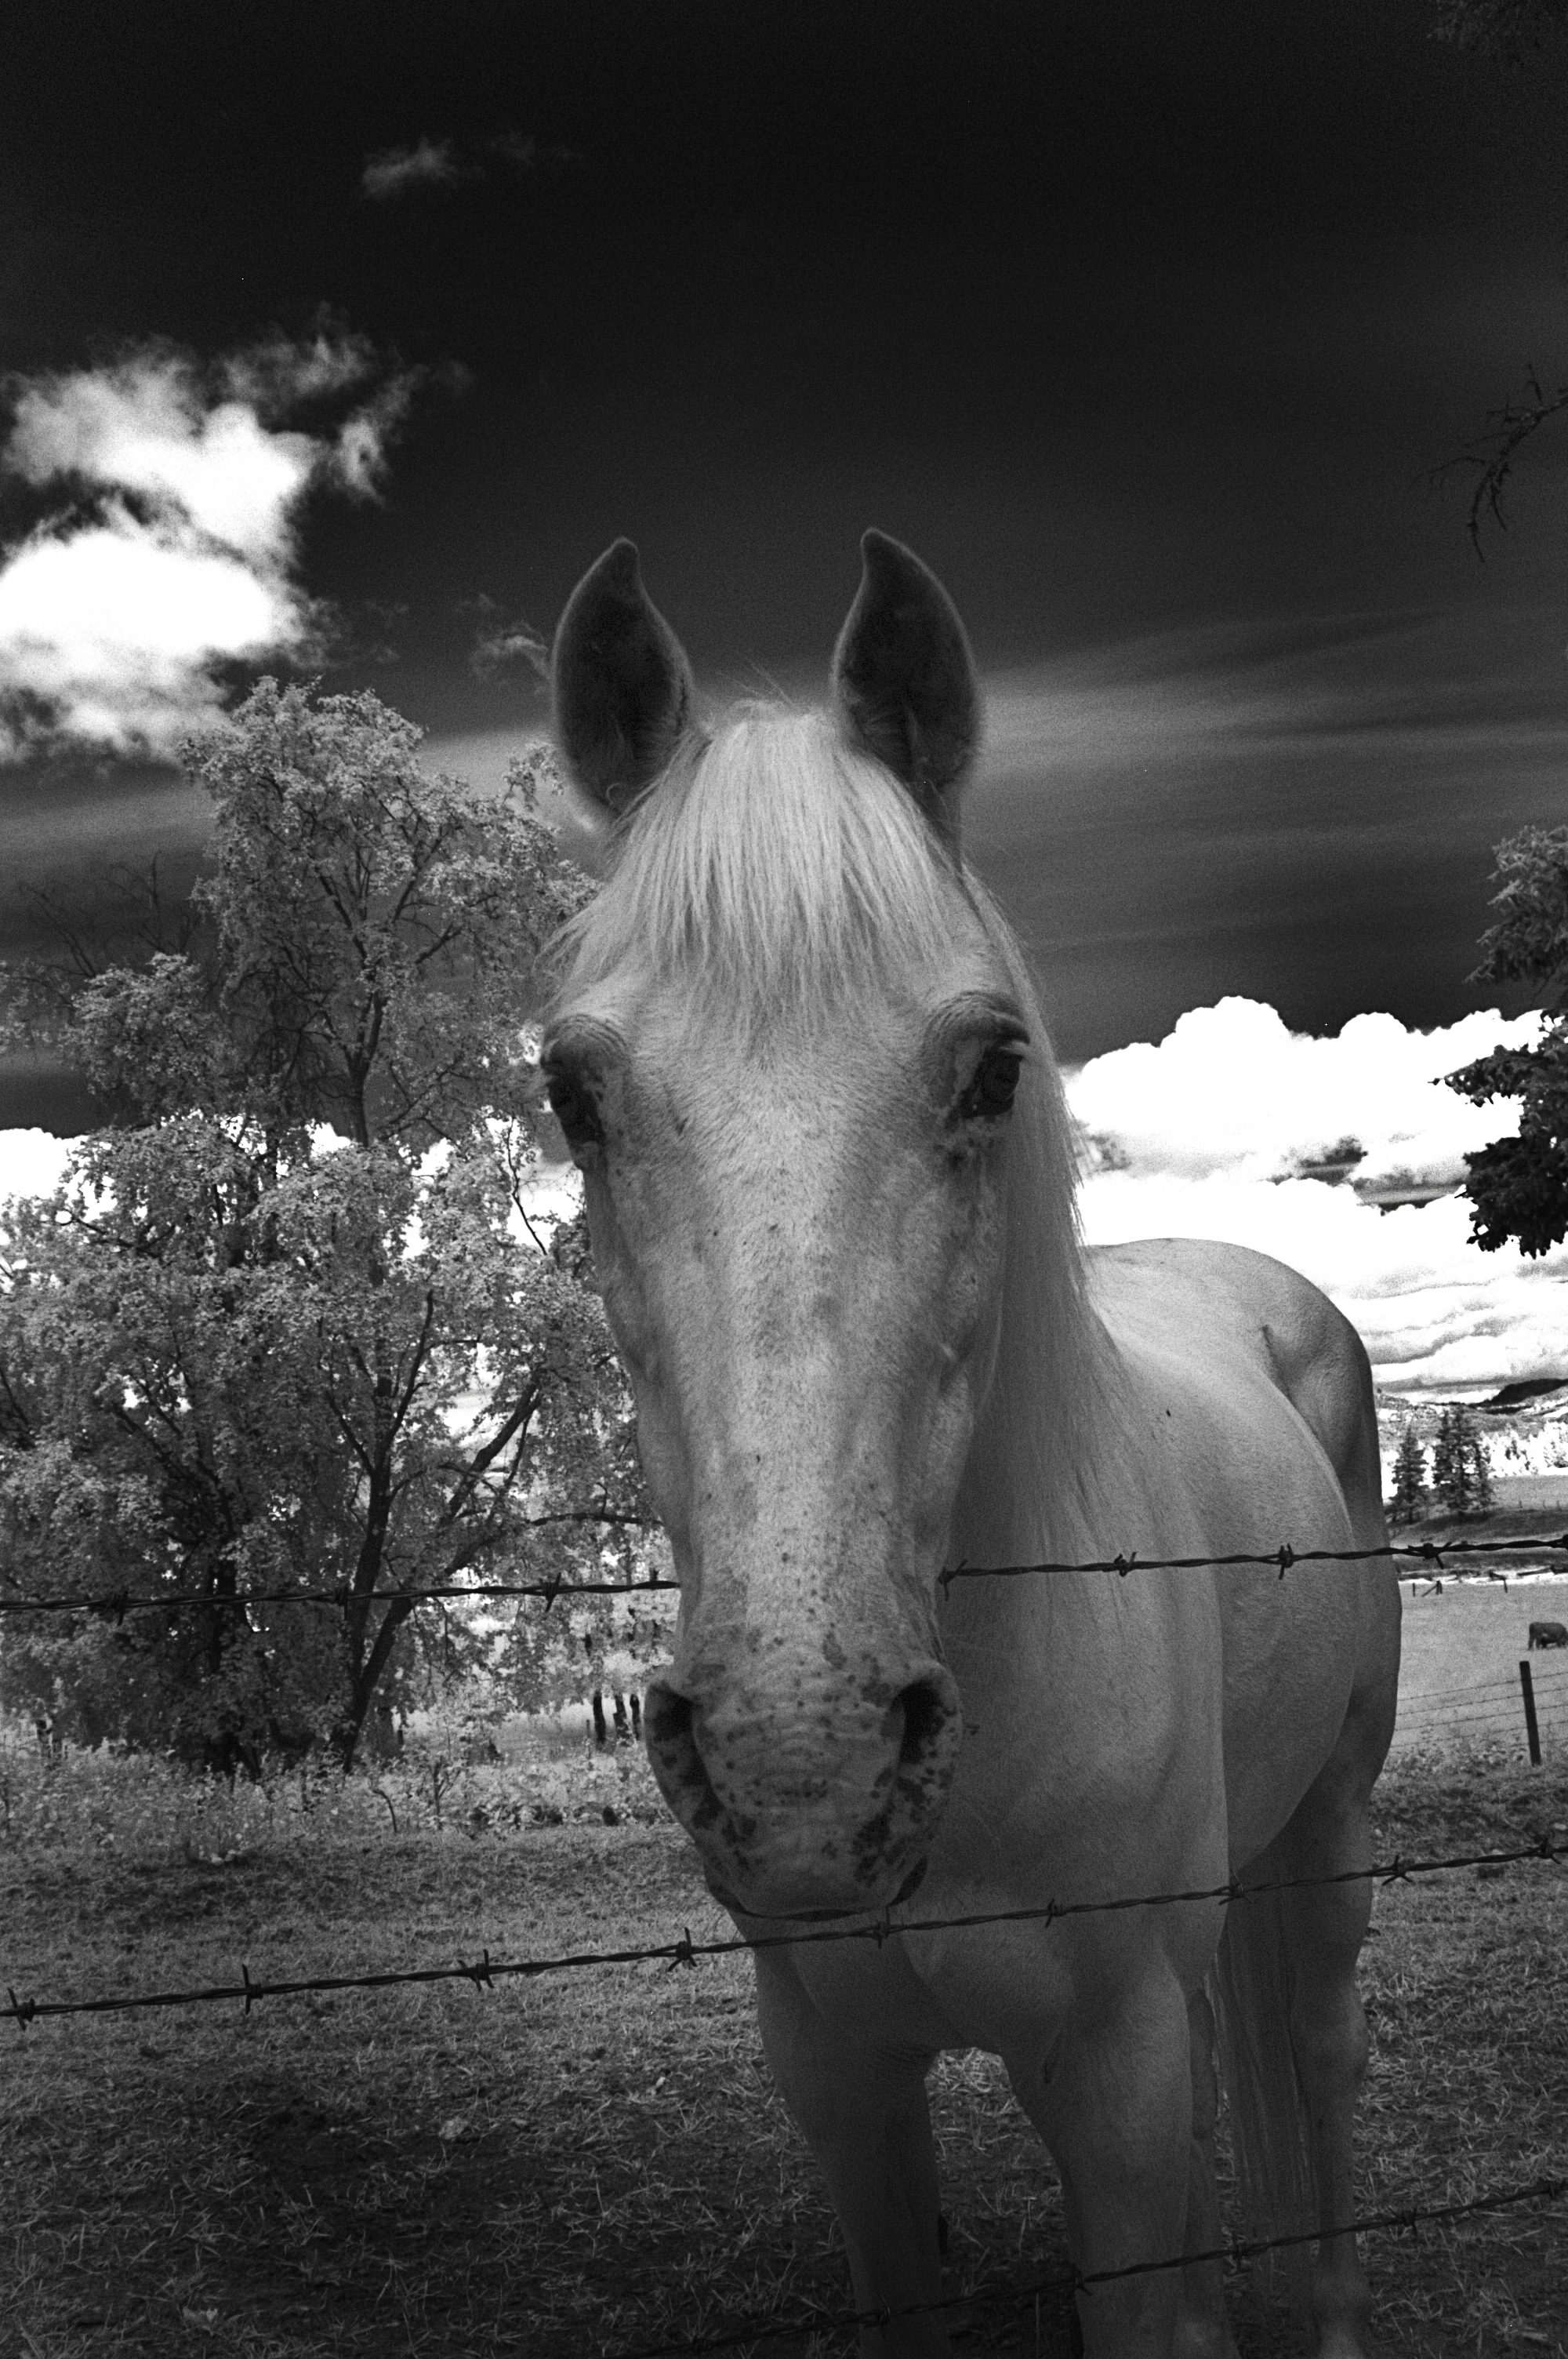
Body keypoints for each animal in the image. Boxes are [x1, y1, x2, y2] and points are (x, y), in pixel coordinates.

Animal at [542, 532, 1402, 2359]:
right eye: (573, 1093)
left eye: (993, 1068)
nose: (803, 1772)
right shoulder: (839, 2072)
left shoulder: (1118, 2071)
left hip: (1328, 1829)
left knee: (1317, 2047)